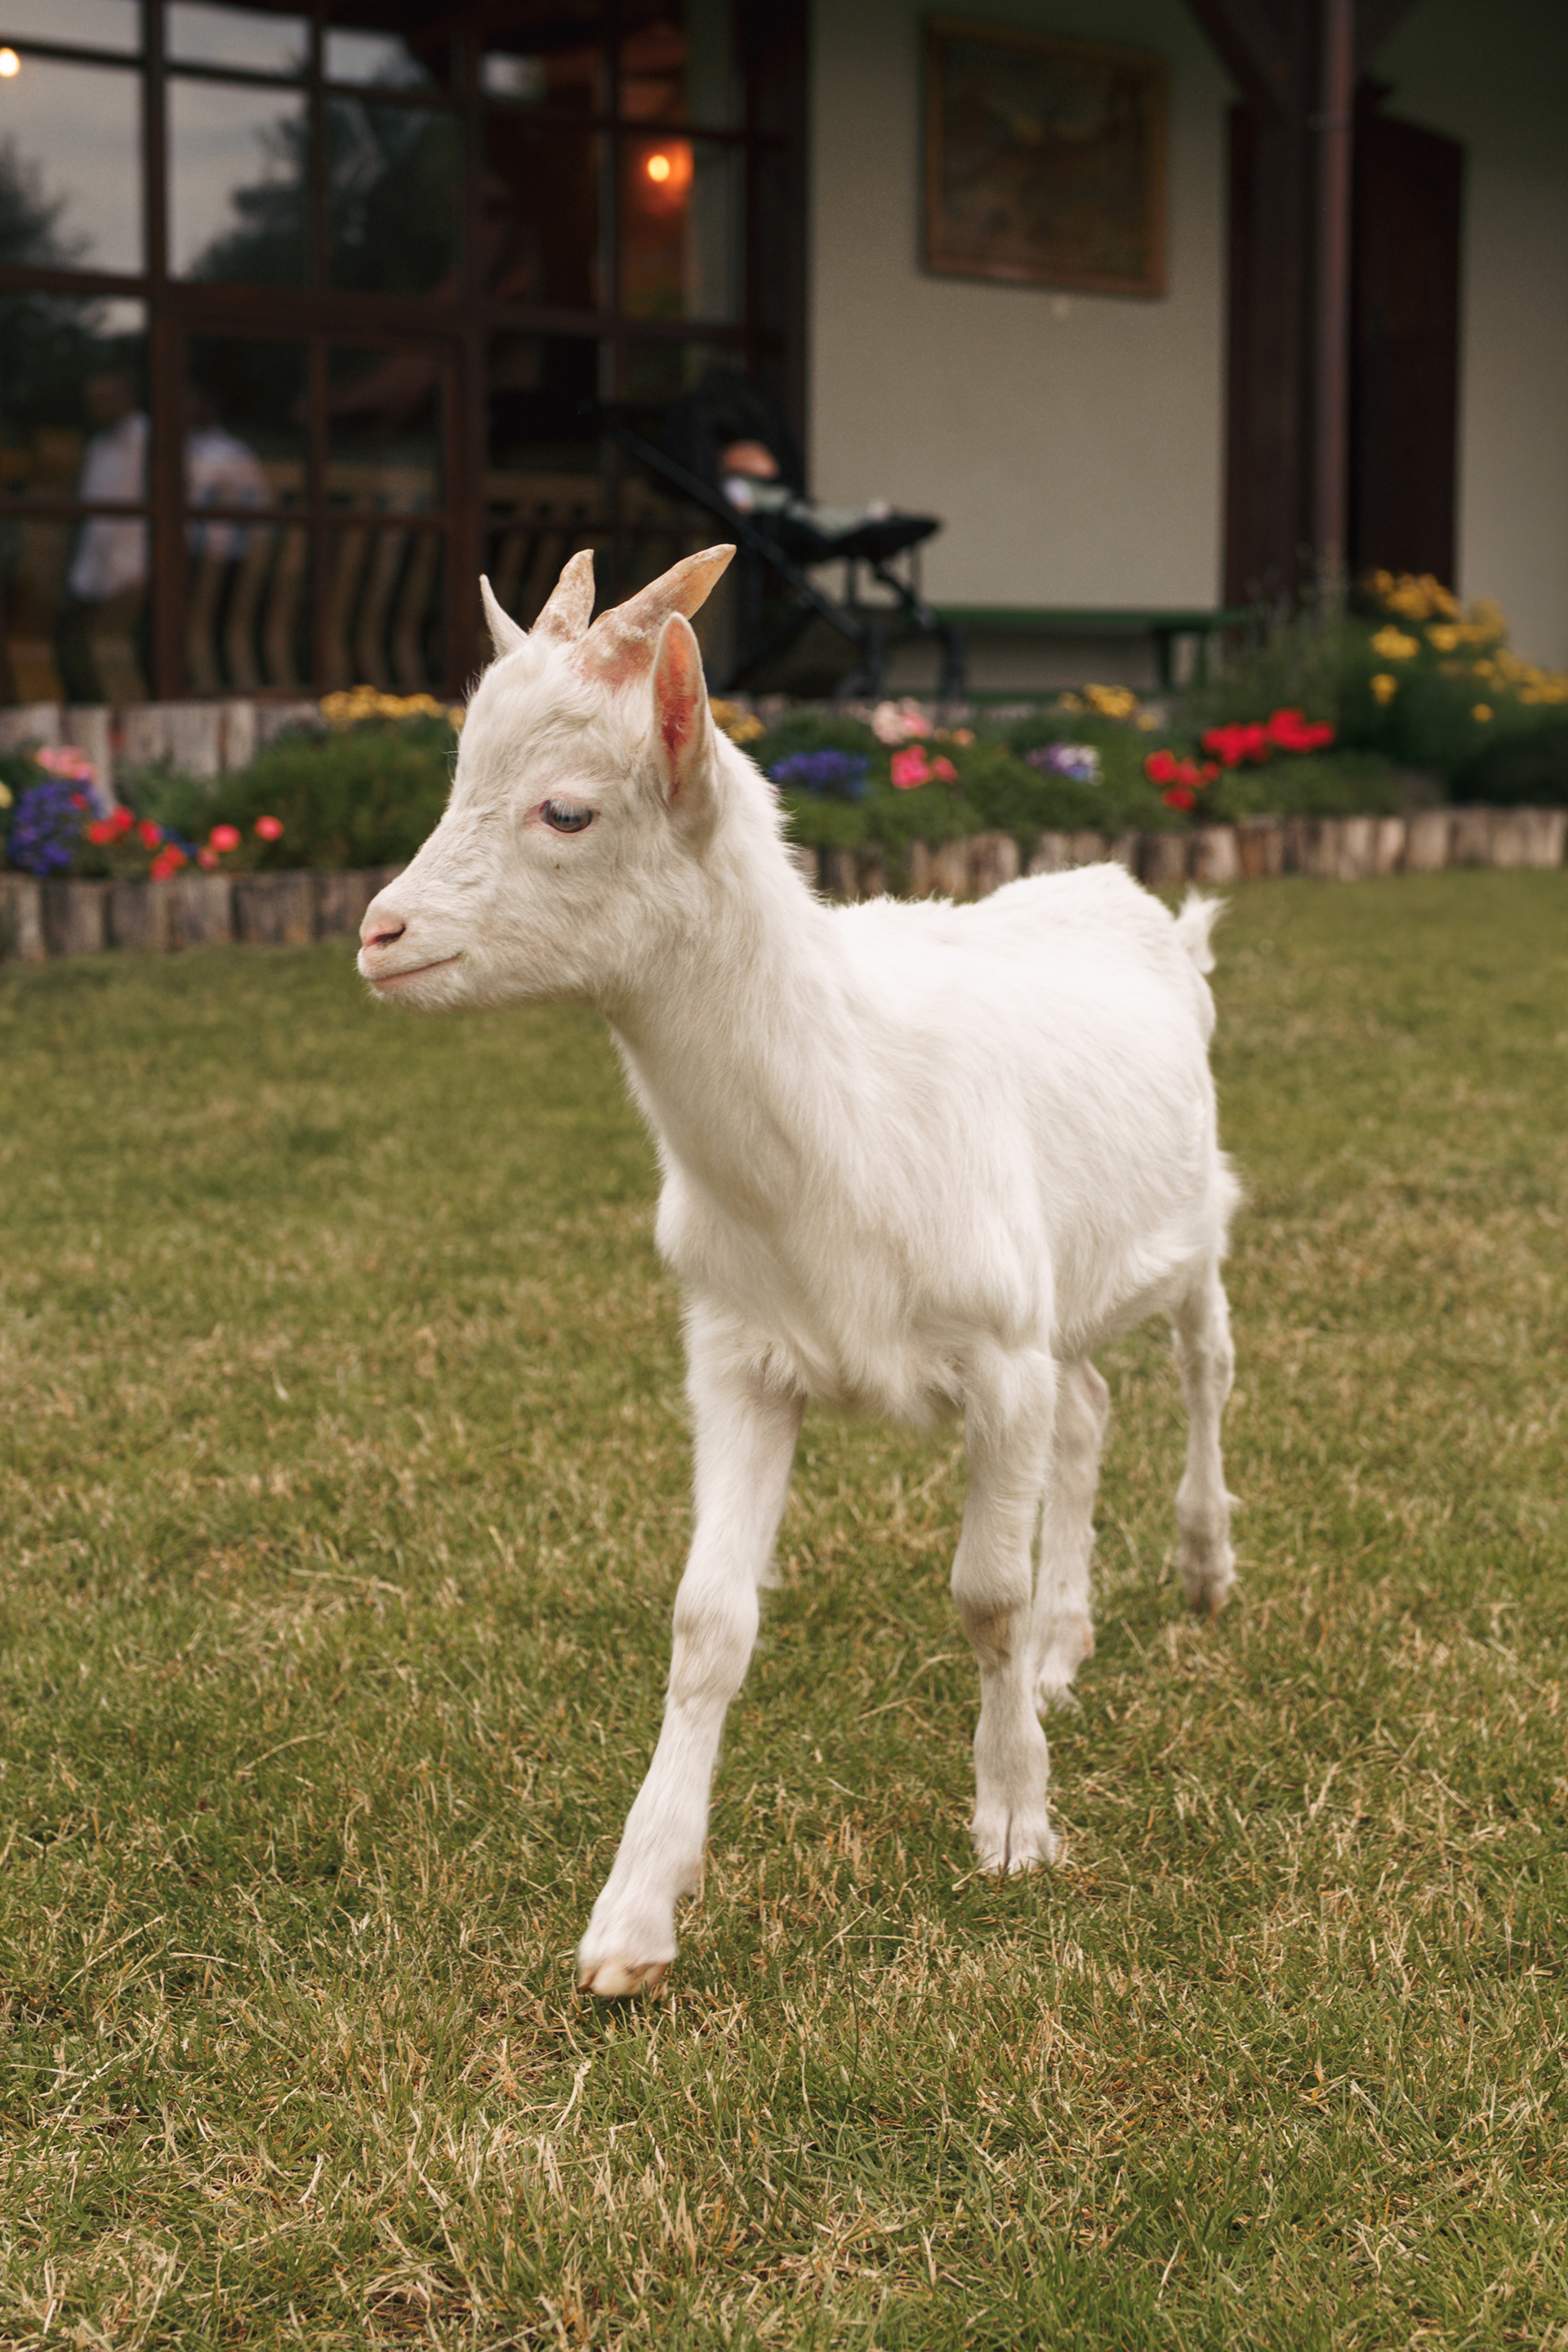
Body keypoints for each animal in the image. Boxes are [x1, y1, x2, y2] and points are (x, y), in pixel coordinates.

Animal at [358, 545, 1241, 1999]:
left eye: (567, 810)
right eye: (457, 775)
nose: (382, 934)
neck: (838, 1117)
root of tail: (1126, 895)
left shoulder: (994, 1355)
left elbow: (982, 1595)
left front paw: (1014, 1820)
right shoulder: (738, 1356)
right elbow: (707, 1620)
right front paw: (634, 1917)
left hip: (1192, 1217)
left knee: (1204, 1365)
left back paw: (1206, 1563)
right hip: (1058, 1295)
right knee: (1091, 1409)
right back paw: (1069, 1643)